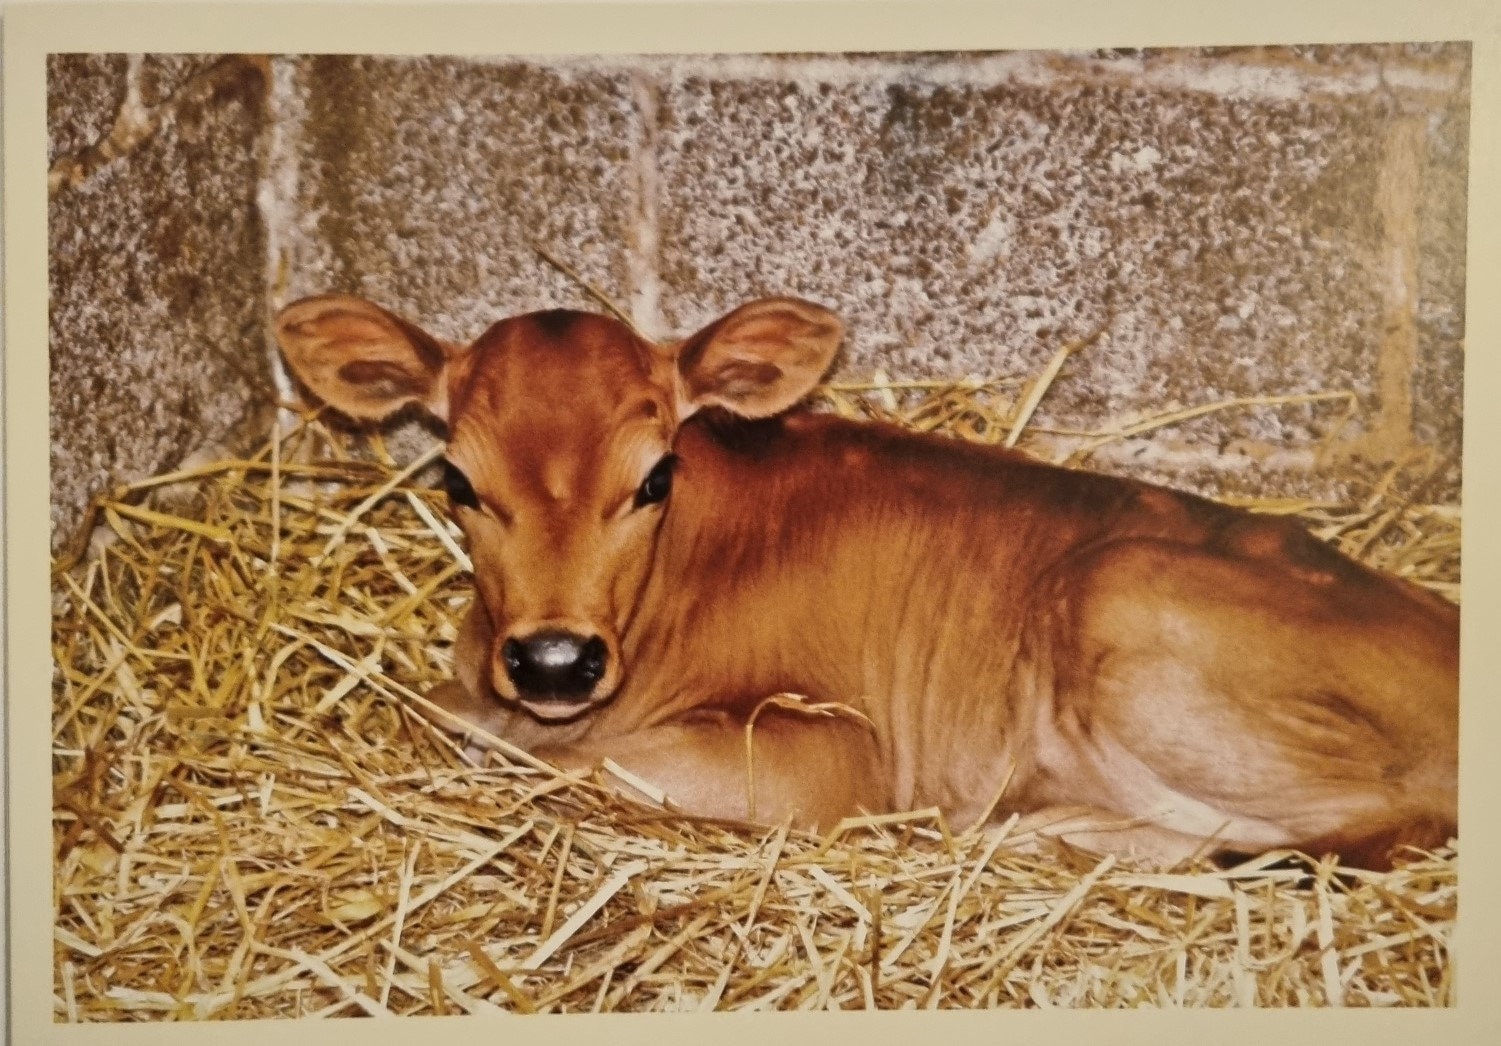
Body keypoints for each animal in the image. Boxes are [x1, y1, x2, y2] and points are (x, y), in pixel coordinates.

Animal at [274, 292, 1459, 869]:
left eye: (654, 474)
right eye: (456, 478)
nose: (555, 659)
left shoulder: (836, 748)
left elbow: (569, 764)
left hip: (1121, 596)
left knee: (1364, 819)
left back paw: (1050, 831)